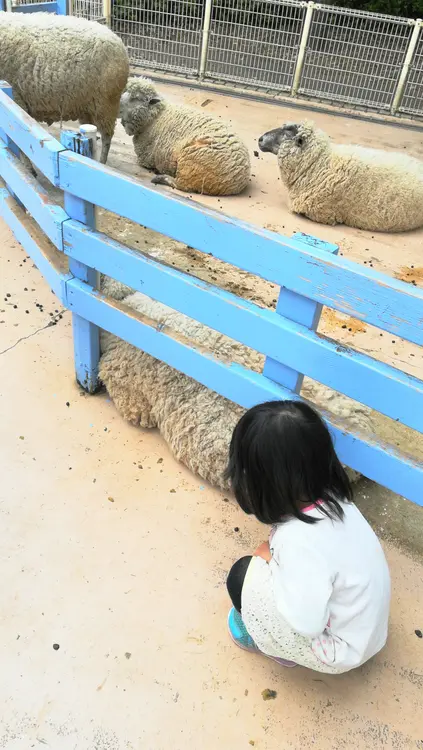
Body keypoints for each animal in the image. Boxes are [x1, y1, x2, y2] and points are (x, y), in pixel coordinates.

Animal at [0, 11, 129, 165]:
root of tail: (119, 41)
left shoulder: (17, 99)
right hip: (87, 106)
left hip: (106, 104)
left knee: (107, 138)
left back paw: (101, 162)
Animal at [119, 77, 252, 197]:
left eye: (136, 98)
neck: (154, 117)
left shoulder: (145, 159)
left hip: (191, 164)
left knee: (183, 185)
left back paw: (161, 178)